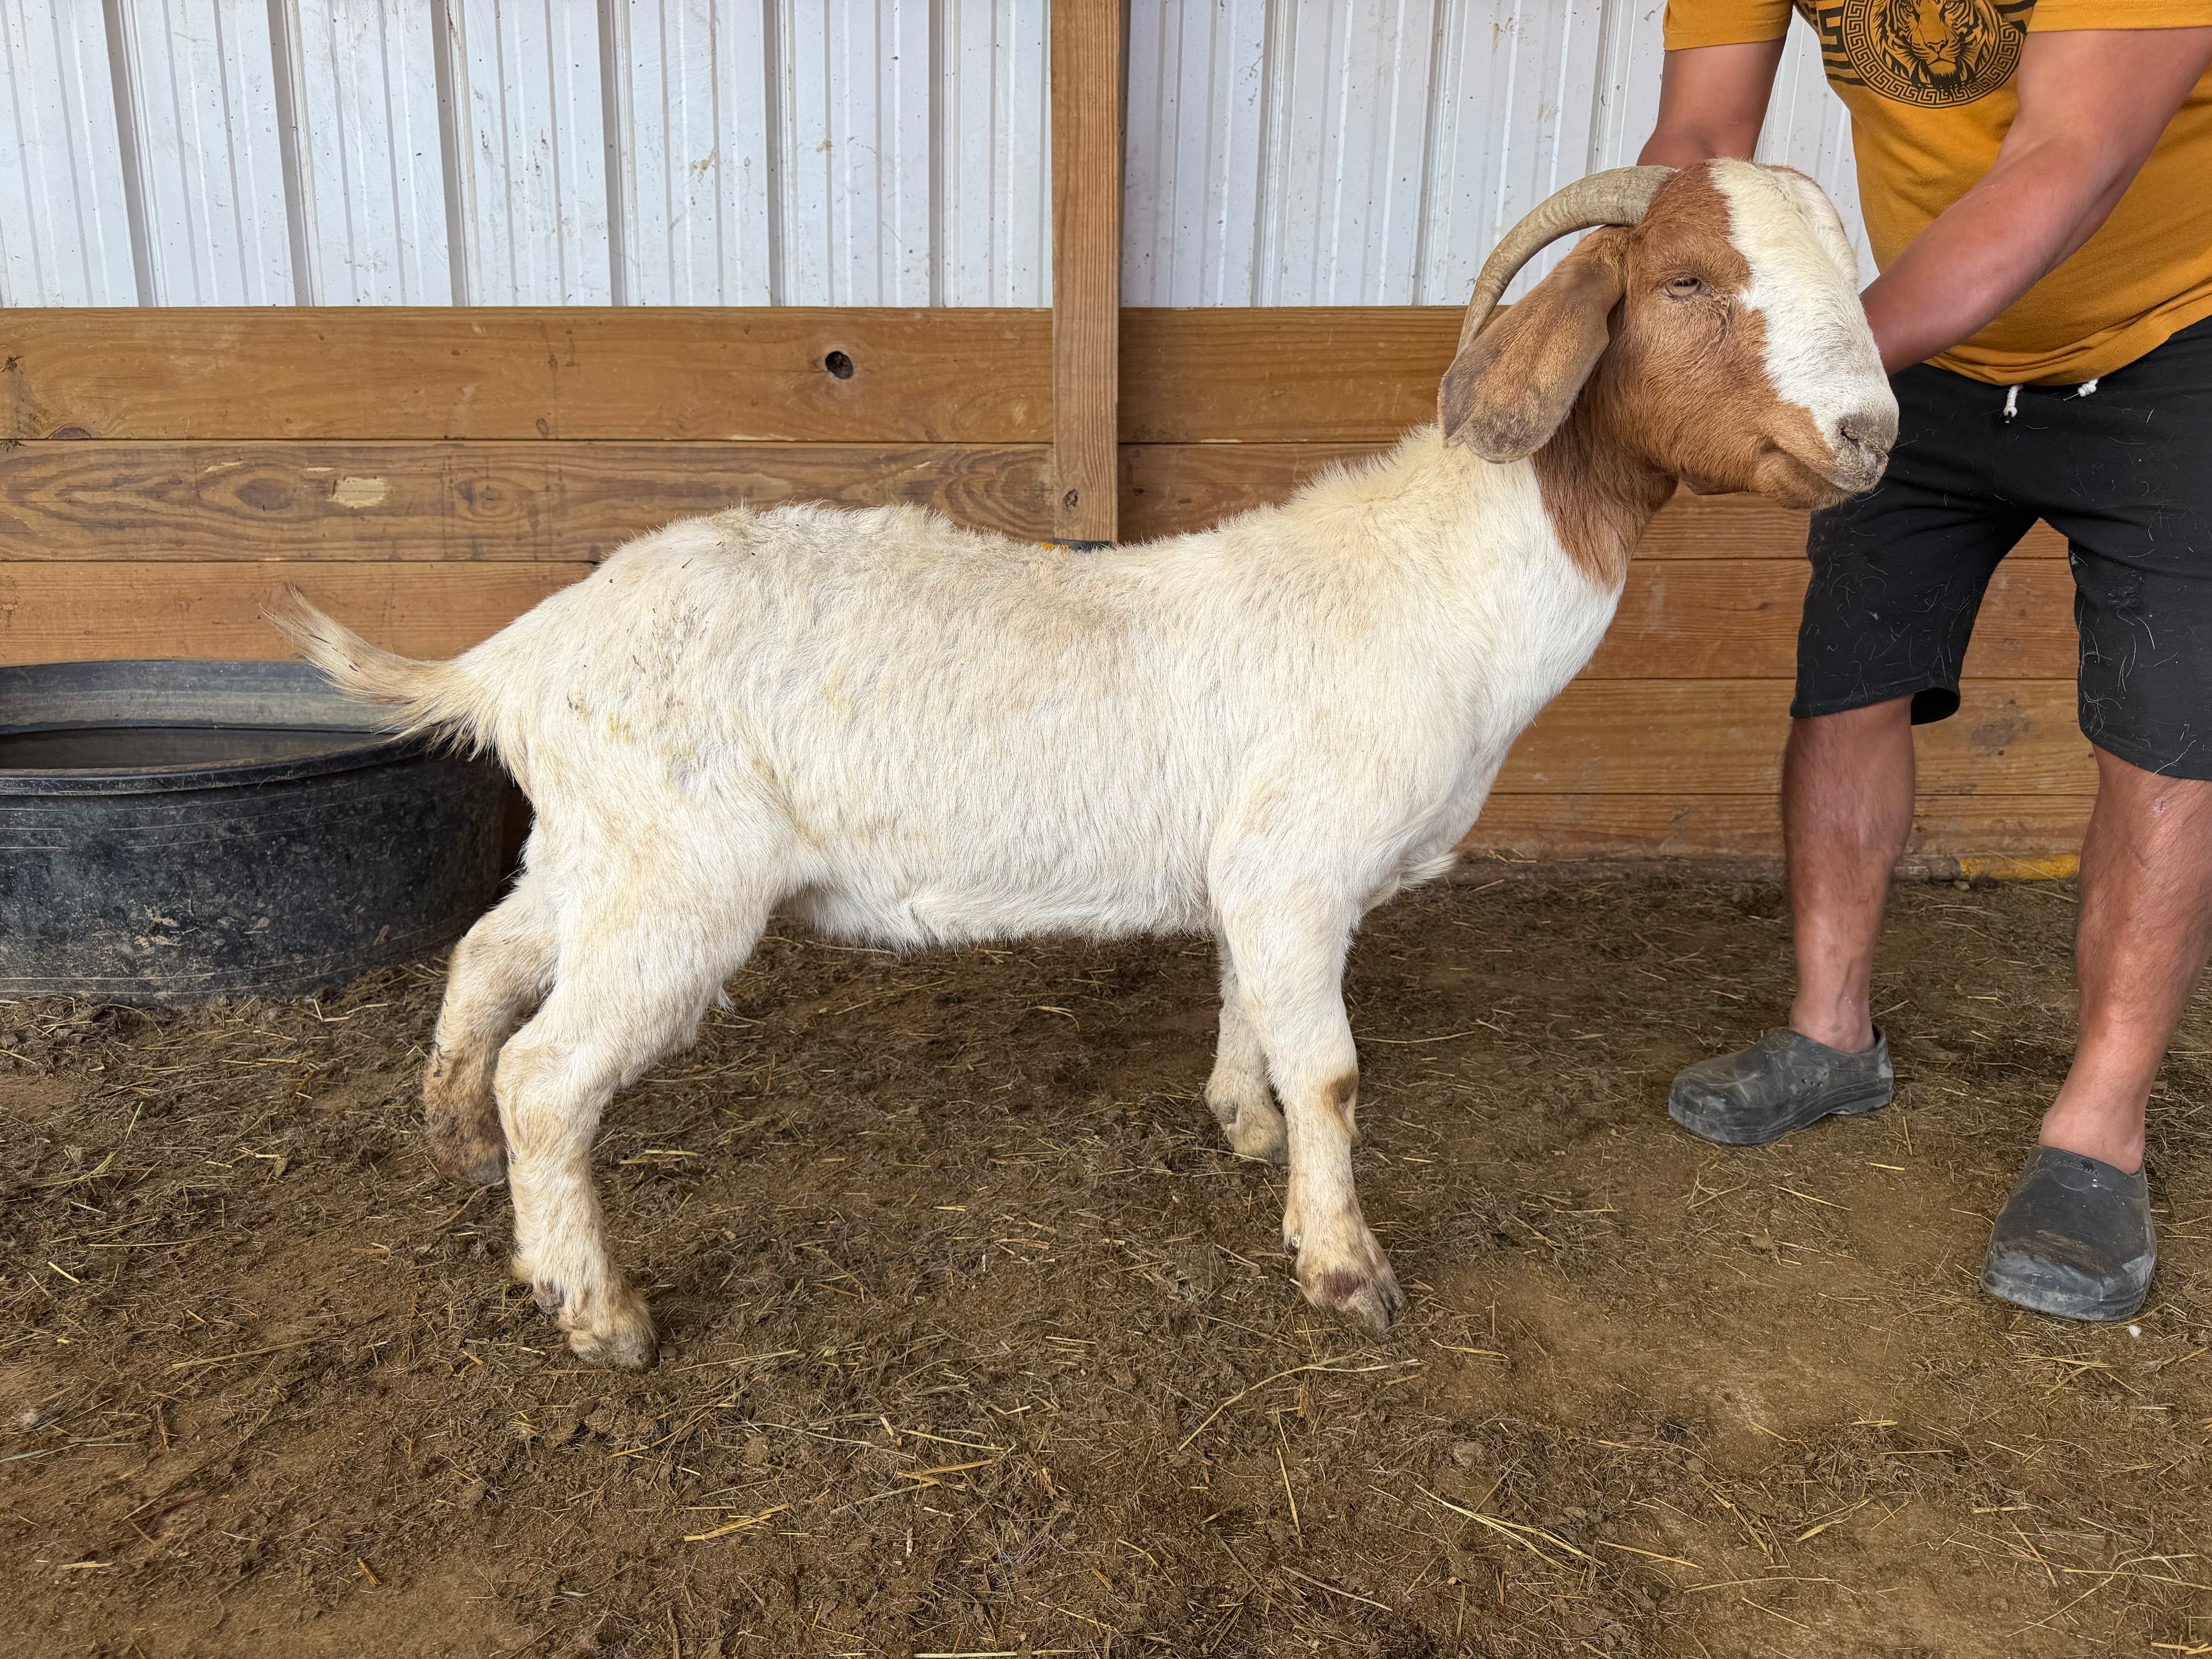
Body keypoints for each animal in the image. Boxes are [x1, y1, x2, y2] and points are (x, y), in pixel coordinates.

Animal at [271, 160, 1895, 1370]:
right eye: (1687, 281)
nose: (1872, 433)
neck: (1441, 584)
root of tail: (517, 652)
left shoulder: (1261, 878)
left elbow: (1253, 1017)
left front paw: (1240, 1125)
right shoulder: (1301, 865)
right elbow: (1335, 1071)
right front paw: (1343, 1269)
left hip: (595, 846)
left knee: (486, 958)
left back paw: (455, 1144)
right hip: (678, 877)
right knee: (553, 1074)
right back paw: (594, 1308)